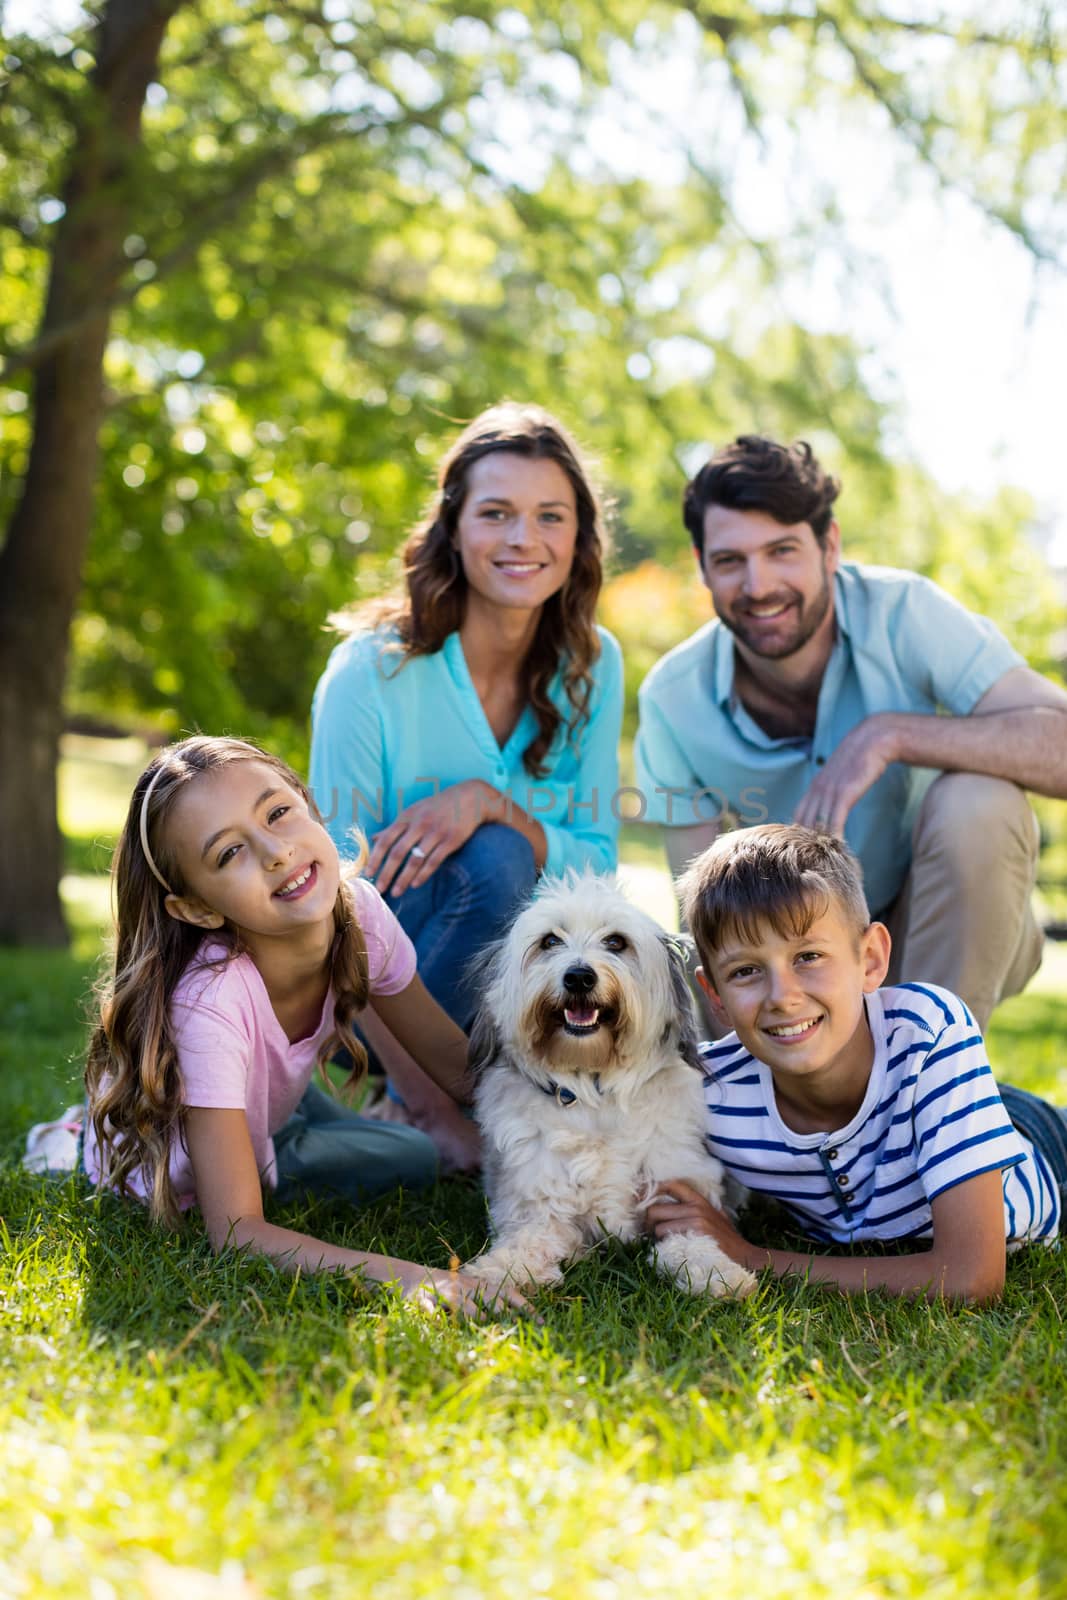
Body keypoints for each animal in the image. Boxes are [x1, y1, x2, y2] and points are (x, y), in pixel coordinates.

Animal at [463, 876, 755, 1299]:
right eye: (549, 941)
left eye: (616, 942)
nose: (579, 976)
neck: (595, 1092)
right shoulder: (538, 1207)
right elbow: (527, 1241)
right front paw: (496, 1271)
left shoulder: (676, 1194)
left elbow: (691, 1238)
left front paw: (715, 1270)